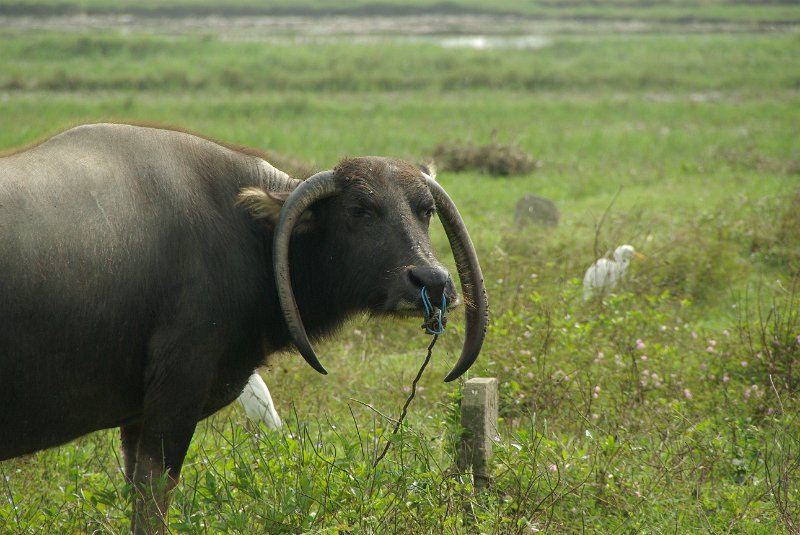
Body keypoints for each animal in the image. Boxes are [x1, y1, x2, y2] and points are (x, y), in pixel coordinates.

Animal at [0, 123, 488, 532]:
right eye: (360, 209)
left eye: (425, 210)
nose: (432, 282)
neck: (249, 236)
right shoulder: (176, 394)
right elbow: (153, 497)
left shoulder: (137, 417)